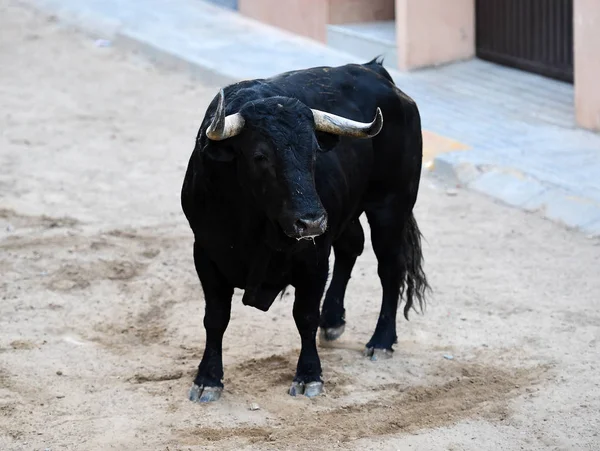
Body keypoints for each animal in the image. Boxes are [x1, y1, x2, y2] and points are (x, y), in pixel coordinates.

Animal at [180, 57, 428, 402]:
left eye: (314, 152)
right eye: (260, 156)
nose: (311, 221)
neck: (252, 221)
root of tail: (377, 72)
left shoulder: (313, 259)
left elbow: (305, 316)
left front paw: (309, 375)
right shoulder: (205, 254)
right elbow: (216, 317)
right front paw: (208, 379)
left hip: (390, 207)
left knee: (390, 268)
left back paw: (380, 341)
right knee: (351, 246)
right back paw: (333, 320)